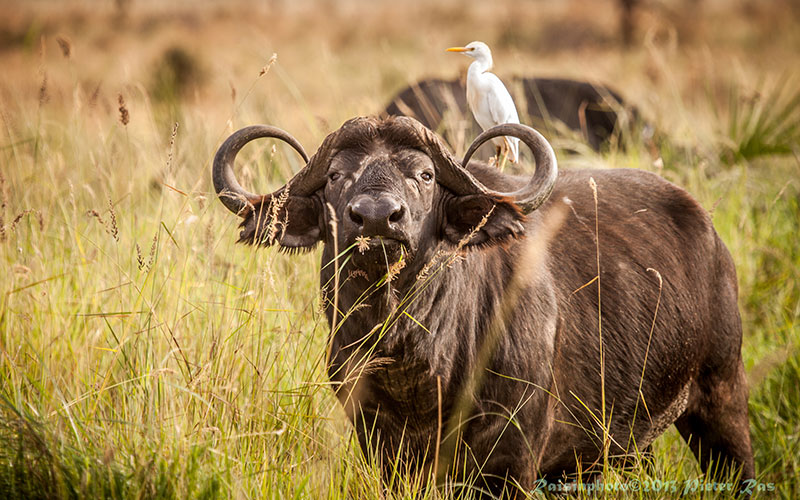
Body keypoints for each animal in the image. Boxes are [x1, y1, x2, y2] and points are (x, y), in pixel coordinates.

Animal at [212, 117, 752, 496]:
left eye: (425, 175)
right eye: (335, 176)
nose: (378, 218)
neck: (415, 358)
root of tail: (711, 236)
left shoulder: (514, 461)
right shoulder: (382, 450)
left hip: (722, 400)